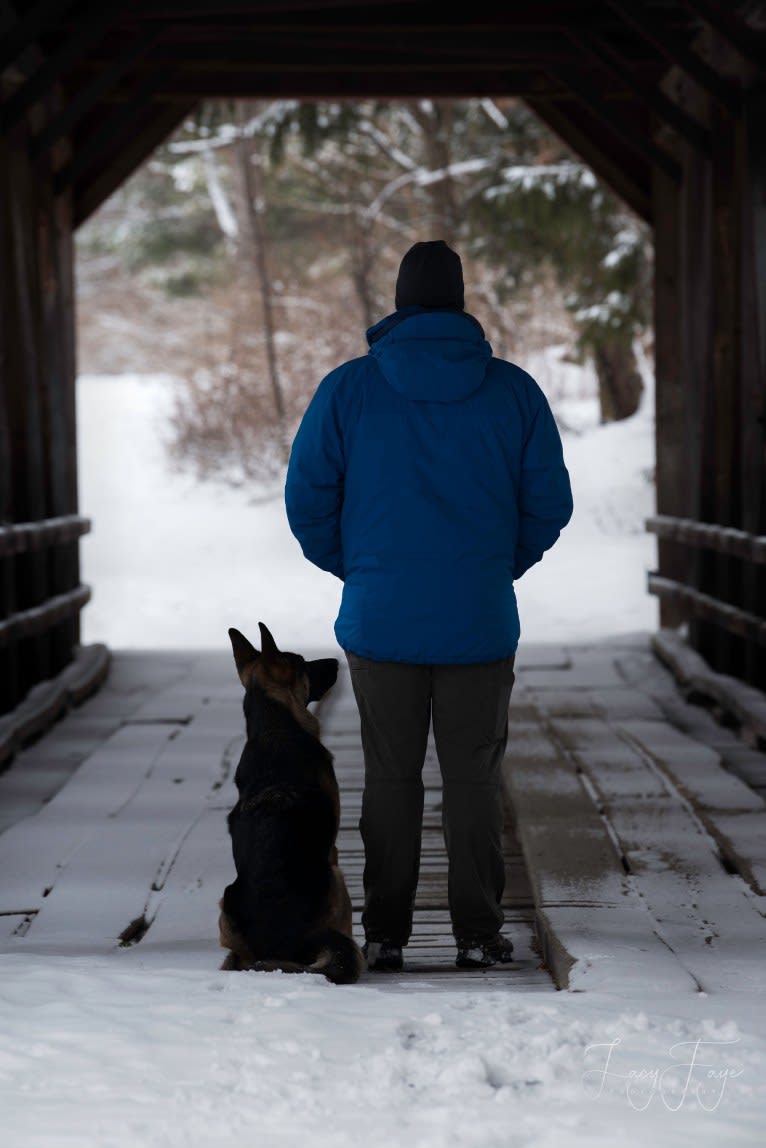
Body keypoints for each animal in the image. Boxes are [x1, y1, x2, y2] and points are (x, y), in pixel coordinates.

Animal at [218, 624, 365, 982]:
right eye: (301, 662)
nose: (335, 662)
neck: (273, 728)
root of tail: (284, 945)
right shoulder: (333, 848)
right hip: (336, 876)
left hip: (225, 900)